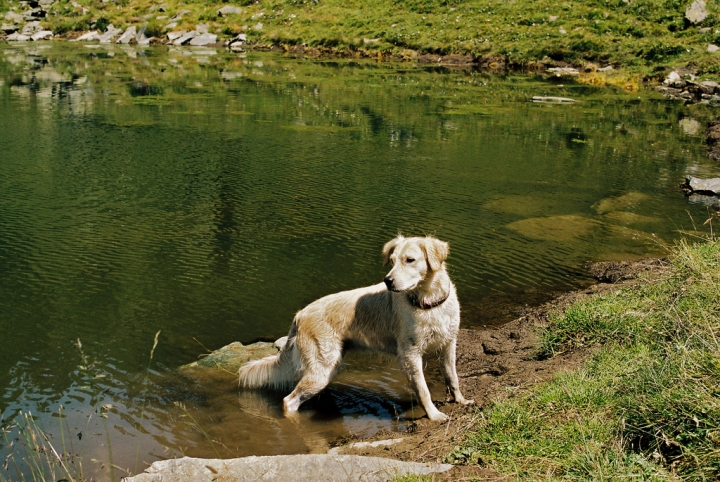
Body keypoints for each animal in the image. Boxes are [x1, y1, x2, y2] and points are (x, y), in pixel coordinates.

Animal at [238, 235, 472, 420]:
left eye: (410, 260)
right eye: (392, 261)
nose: (387, 281)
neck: (428, 303)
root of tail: (300, 315)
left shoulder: (449, 344)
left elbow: (452, 377)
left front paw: (461, 401)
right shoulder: (410, 354)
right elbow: (423, 390)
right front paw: (434, 415)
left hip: (326, 370)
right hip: (322, 369)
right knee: (289, 401)